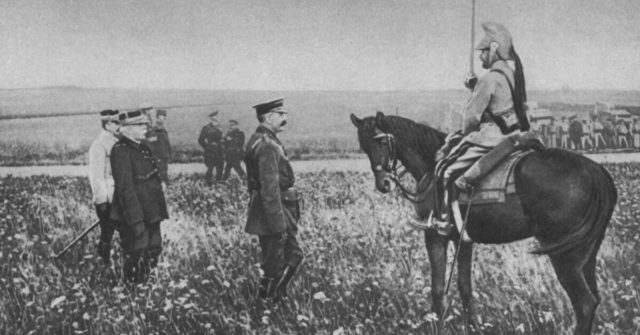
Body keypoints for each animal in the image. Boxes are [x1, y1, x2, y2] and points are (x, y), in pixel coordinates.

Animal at [352, 111, 616, 334]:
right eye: (363, 146)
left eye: (381, 141)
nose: (384, 183)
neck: (432, 165)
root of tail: (595, 171)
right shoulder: (463, 240)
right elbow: (465, 287)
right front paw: (473, 327)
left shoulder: (435, 235)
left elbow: (437, 288)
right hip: (586, 253)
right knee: (593, 298)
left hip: (565, 256)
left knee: (584, 303)